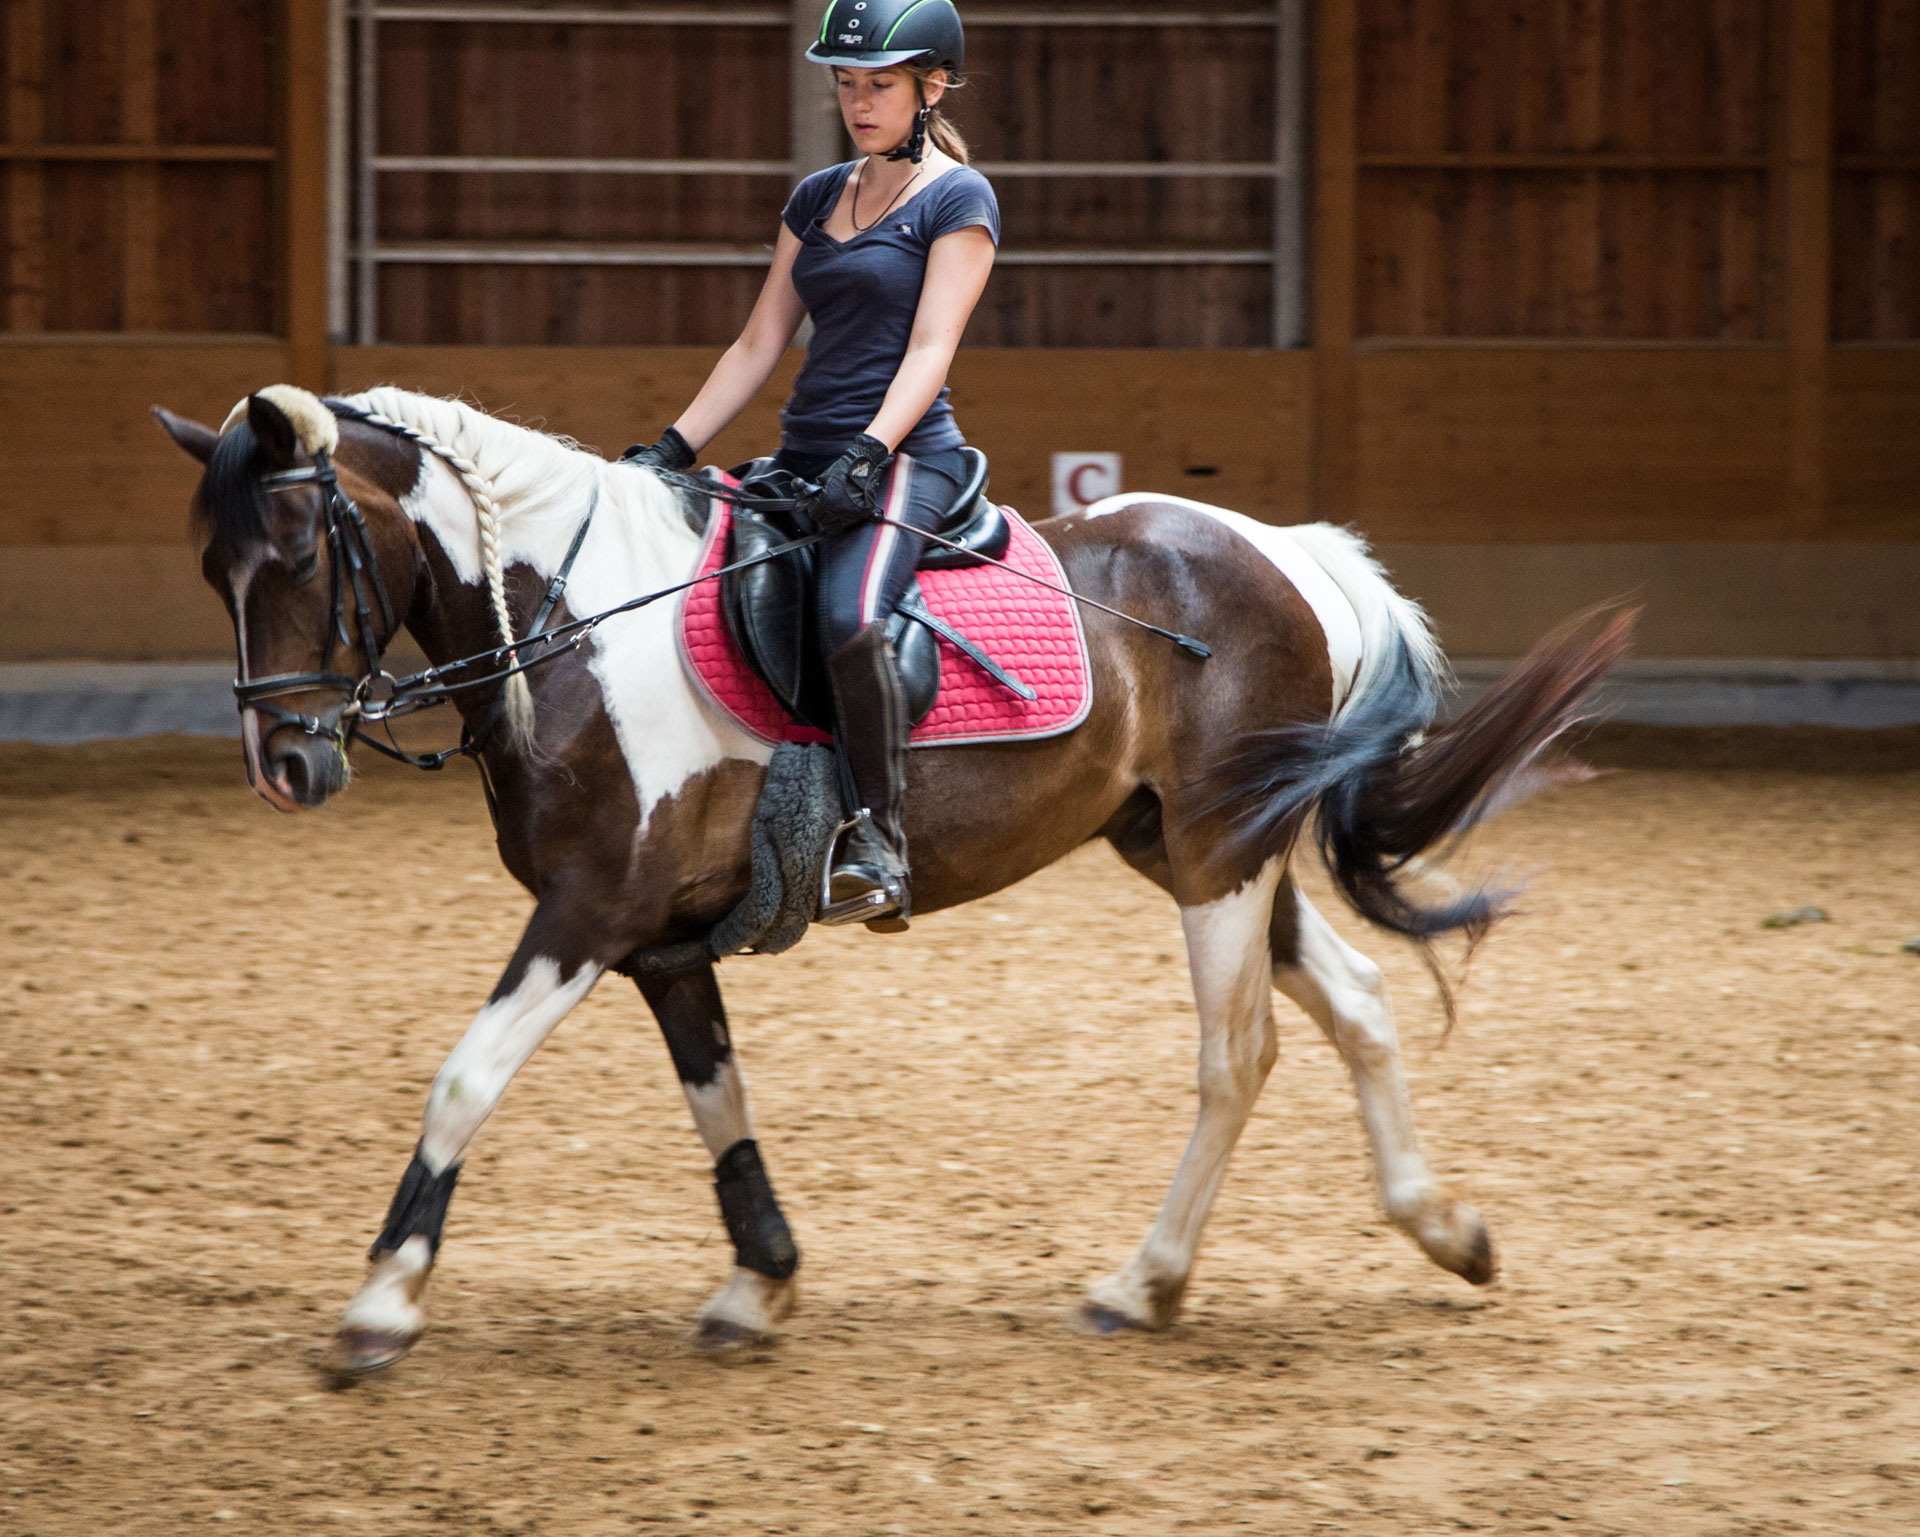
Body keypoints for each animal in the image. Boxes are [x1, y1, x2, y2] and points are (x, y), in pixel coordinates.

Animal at [157, 379, 1635, 1366]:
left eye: (300, 551)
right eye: (211, 568)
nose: (285, 764)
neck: (573, 632)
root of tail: (1290, 552)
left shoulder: (587, 912)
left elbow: (465, 1075)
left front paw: (383, 1298)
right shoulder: (657, 938)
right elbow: (719, 1098)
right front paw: (761, 1280)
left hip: (1220, 851)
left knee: (1241, 1052)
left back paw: (1144, 1281)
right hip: (1192, 847)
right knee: (1359, 1001)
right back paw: (1442, 1226)